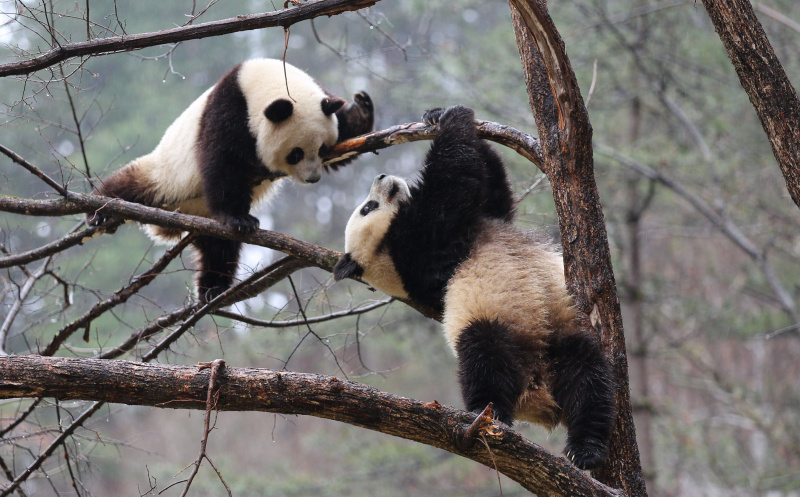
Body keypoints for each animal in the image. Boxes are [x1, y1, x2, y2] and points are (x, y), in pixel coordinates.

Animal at [86, 58, 374, 302]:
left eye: (323, 149)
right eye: (296, 153)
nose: (312, 178)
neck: (256, 81)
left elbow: (346, 140)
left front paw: (361, 110)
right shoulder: (229, 111)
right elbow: (222, 163)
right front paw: (240, 219)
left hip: (205, 219)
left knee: (219, 249)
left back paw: (212, 289)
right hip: (166, 176)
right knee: (131, 183)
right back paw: (100, 211)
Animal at [333, 105, 616, 470]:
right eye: (367, 207)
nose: (381, 177)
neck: (384, 258)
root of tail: (537, 387)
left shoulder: (473, 226)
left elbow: (494, 194)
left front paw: (435, 114)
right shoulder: (419, 252)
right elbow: (453, 189)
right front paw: (454, 119)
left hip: (558, 335)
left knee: (587, 377)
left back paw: (586, 448)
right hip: (493, 322)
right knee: (485, 360)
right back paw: (490, 419)